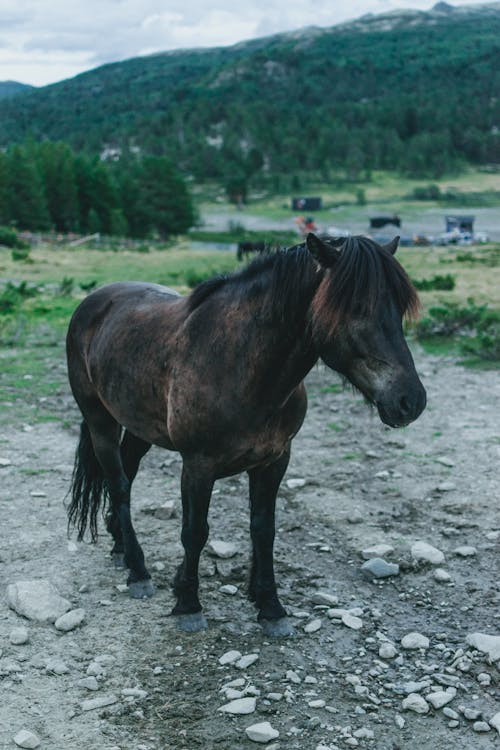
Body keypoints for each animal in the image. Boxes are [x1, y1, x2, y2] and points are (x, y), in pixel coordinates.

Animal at [66, 234, 426, 636]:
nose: (410, 400)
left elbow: (263, 529)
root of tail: (94, 301)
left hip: (139, 426)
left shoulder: (275, 460)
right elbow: (195, 531)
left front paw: (269, 604)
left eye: (399, 307)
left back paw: (120, 547)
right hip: (101, 421)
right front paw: (188, 603)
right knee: (119, 485)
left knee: (126, 475)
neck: (241, 364)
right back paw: (138, 570)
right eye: (357, 307)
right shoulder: (198, 466)